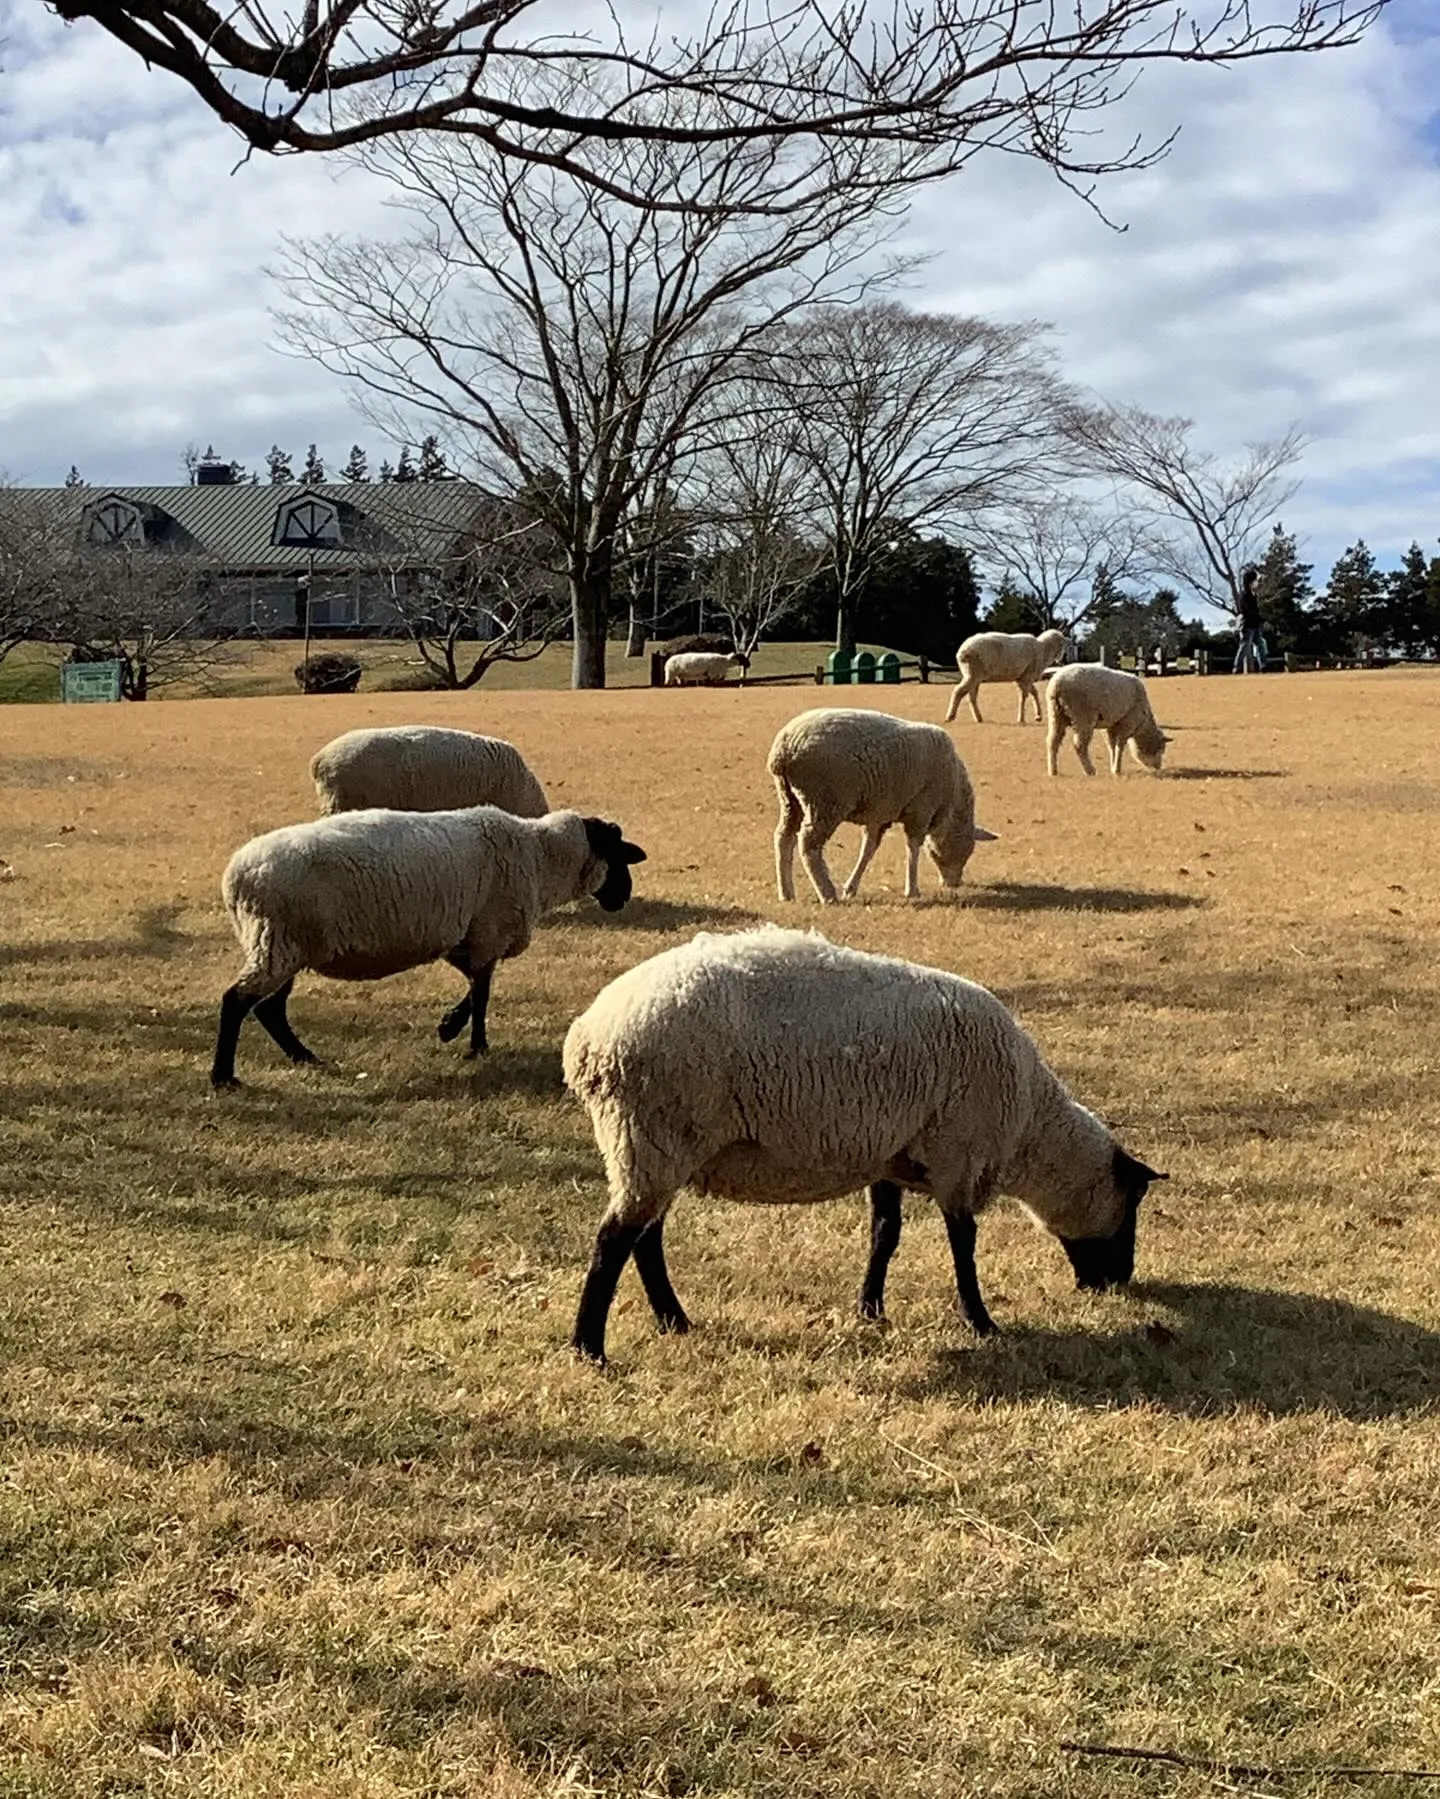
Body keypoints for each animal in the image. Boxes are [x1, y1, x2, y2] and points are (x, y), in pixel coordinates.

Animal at [209, 809, 648, 1086]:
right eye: (618, 856)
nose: (624, 897)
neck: (541, 858)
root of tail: (235, 877)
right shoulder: (488, 931)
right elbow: (482, 994)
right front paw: (476, 1045)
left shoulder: (463, 936)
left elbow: (473, 988)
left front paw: (449, 1027)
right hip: (276, 940)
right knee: (238, 1000)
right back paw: (224, 1076)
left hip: (283, 944)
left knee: (269, 1008)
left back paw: (304, 1057)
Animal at [561, 928, 1166, 1360]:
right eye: (1133, 1203)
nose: (1118, 1282)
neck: (1027, 1125)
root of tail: (587, 1042)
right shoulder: (957, 1153)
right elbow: (963, 1245)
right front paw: (980, 1321)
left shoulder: (891, 1153)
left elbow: (885, 1234)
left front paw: (870, 1308)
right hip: (651, 1136)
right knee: (614, 1240)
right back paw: (589, 1347)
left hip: (654, 1146)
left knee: (645, 1238)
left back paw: (674, 1320)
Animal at [770, 701, 993, 899]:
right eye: (967, 850)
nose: (954, 884)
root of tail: (786, 747)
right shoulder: (921, 809)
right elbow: (913, 848)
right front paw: (912, 890)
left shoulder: (879, 815)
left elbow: (868, 849)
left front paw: (851, 888)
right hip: (824, 802)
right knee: (809, 845)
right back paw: (827, 893)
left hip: (791, 799)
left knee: (784, 837)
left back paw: (786, 893)